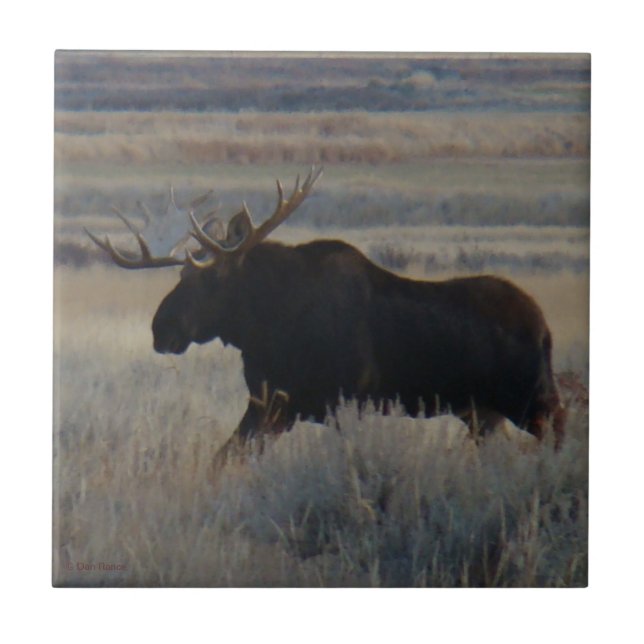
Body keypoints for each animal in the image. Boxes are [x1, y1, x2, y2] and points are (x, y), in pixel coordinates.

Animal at [86, 167, 566, 470]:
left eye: (213, 278)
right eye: (182, 274)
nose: (161, 329)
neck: (264, 329)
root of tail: (545, 328)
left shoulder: (342, 402)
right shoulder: (271, 405)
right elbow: (224, 458)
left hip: (532, 399)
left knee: (561, 433)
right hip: (482, 414)